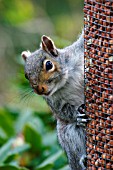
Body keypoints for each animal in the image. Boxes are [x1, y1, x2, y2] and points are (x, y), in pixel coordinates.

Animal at [21, 31, 88, 170]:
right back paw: (83, 161)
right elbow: (63, 112)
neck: (66, 81)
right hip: (68, 135)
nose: (39, 90)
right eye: (26, 75)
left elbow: (82, 41)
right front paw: (78, 116)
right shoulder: (53, 101)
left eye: (49, 65)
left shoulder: (77, 53)